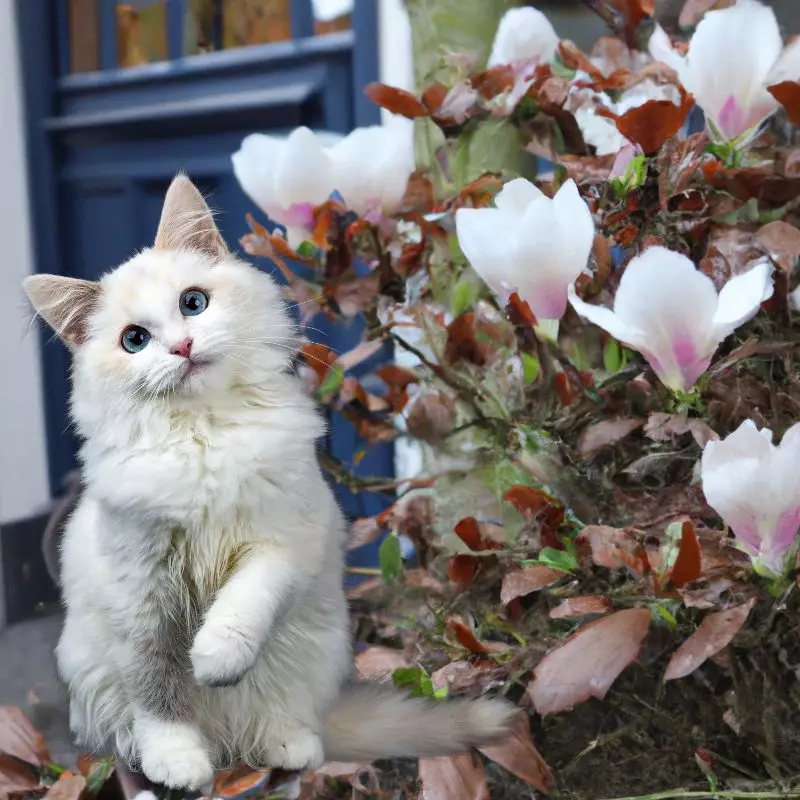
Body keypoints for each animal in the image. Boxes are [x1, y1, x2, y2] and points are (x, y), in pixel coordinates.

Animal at [25, 172, 516, 792]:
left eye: (193, 303)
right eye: (134, 340)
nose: (182, 347)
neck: (205, 437)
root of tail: (229, 745)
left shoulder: (283, 542)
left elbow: (243, 604)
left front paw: (214, 659)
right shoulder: (141, 595)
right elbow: (160, 692)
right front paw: (178, 762)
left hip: (312, 650)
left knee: (284, 721)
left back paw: (288, 746)